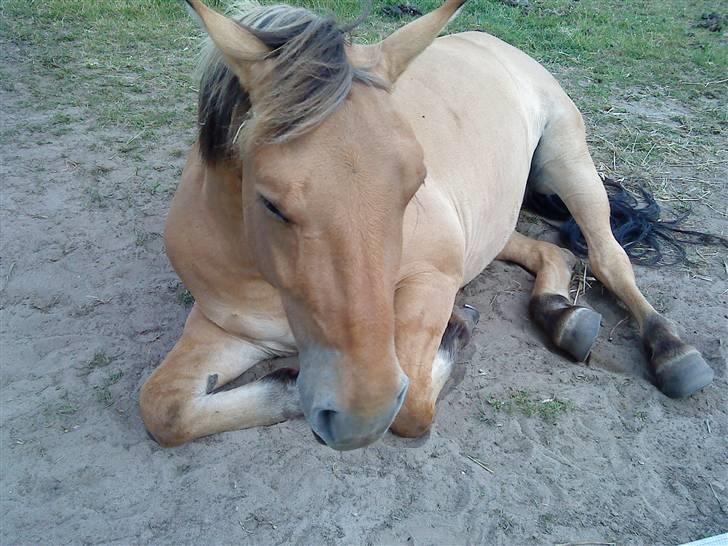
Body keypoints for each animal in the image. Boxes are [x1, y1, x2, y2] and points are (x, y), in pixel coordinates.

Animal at [139, 0, 712, 448]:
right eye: (270, 203)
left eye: (413, 184)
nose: (359, 417)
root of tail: (492, 43)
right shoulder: (226, 328)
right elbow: (162, 408)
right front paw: (284, 387)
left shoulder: (431, 280)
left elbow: (413, 402)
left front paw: (456, 333)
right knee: (554, 252)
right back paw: (561, 317)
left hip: (568, 161)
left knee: (608, 258)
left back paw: (671, 351)